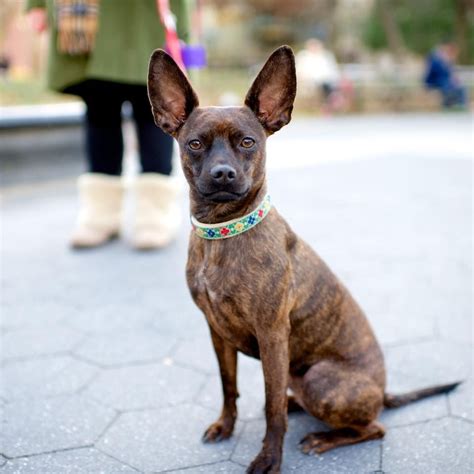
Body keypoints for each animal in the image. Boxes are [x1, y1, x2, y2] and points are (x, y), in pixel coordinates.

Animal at [147, 45, 460, 474]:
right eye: (194, 144)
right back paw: (298, 408)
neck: (224, 233)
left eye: (248, 142)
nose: (223, 174)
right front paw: (225, 425)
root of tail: (382, 392)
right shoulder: (217, 333)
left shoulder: (272, 336)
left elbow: (270, 407)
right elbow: (229, 386)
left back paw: (322, 438)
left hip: (319, 379)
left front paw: (269, 458)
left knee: (374, 427)